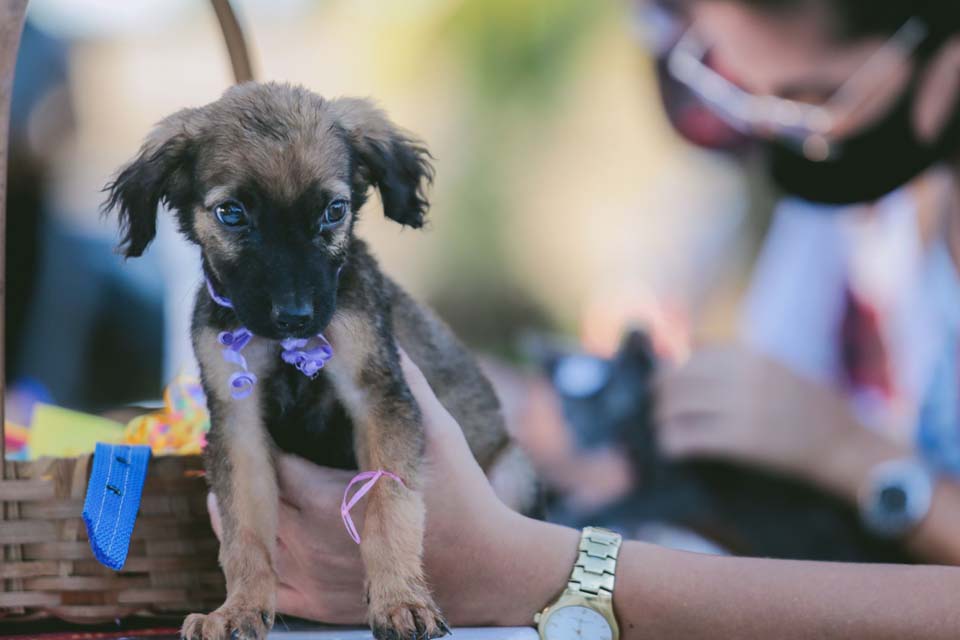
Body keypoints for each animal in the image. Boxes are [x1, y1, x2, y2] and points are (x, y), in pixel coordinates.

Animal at [109, 82, 528, 640]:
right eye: (231, 213)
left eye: (334, 210)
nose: (296, 318)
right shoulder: (237, 424)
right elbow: (243, 532)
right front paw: (239, 609)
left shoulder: (378, 399)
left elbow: (389, 507)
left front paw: (399, 601)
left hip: (515, 471)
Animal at [544, 332, 912, 564]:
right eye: (569, 414)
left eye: (616, 403)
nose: (585, 439)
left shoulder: (682, 482)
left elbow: (642, 500)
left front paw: (578, 512)